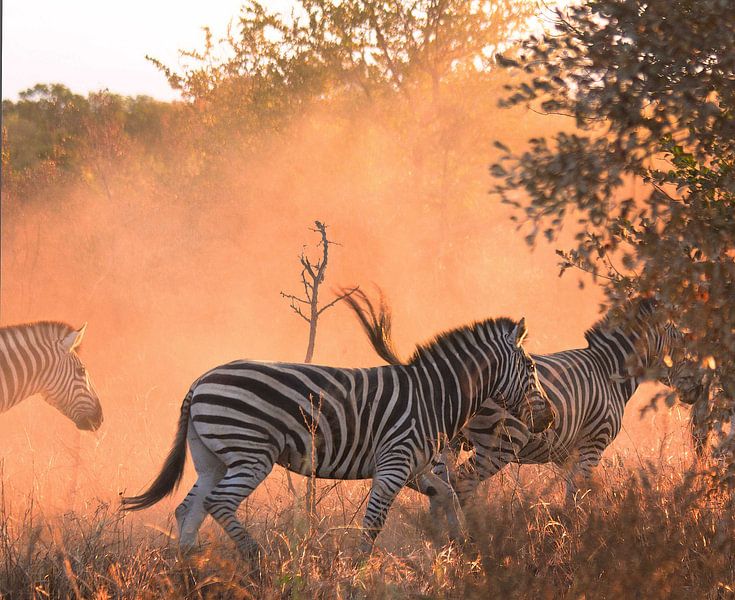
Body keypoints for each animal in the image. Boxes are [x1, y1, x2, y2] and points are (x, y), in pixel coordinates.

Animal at [123, 314, 556, 556]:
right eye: (532, 368)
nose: (549, 418)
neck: (433, 396)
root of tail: (199, 382)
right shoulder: (394, 464)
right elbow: (373, 523)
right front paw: (358, 569)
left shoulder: (414, 468)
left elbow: (447, 494)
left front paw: (458, 545)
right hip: (251, 453)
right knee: (218, 503)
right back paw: (256, 558)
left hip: (211, 457)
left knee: (189, 509)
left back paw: (189, 569)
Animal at [350, 296, 684, 506]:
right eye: (682, 341)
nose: (693, 393)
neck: (608, 367)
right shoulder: (593, 444)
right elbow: (580, 494)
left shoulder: (566, 452)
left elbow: (573, 493)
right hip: (499, 444)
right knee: (463, 481)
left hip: (451, 441)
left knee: (444, 482)